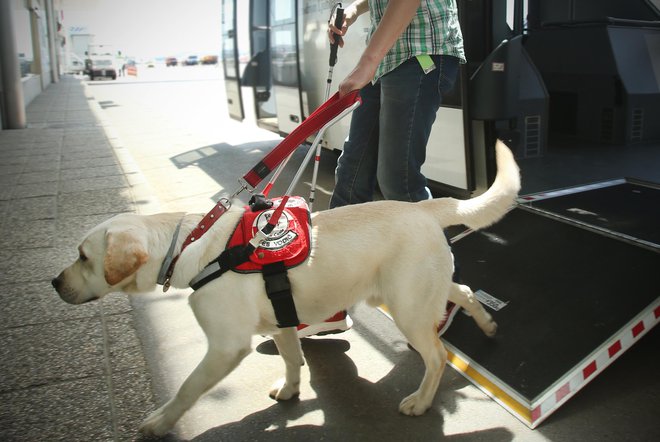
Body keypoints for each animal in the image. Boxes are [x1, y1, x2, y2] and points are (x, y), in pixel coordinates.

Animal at [51, 141, 520, 436]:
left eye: (83, 257)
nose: (54, 282)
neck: (189, 246)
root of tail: (424, 207)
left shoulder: (225, 346)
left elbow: (187, 388)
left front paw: (160, 422)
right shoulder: (282, 322)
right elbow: (293, 360)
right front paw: (292, 391)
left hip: (405, 305)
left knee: (437, 356)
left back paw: (420, 400)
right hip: (407, 293)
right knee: (464, 291)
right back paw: (488, 326)